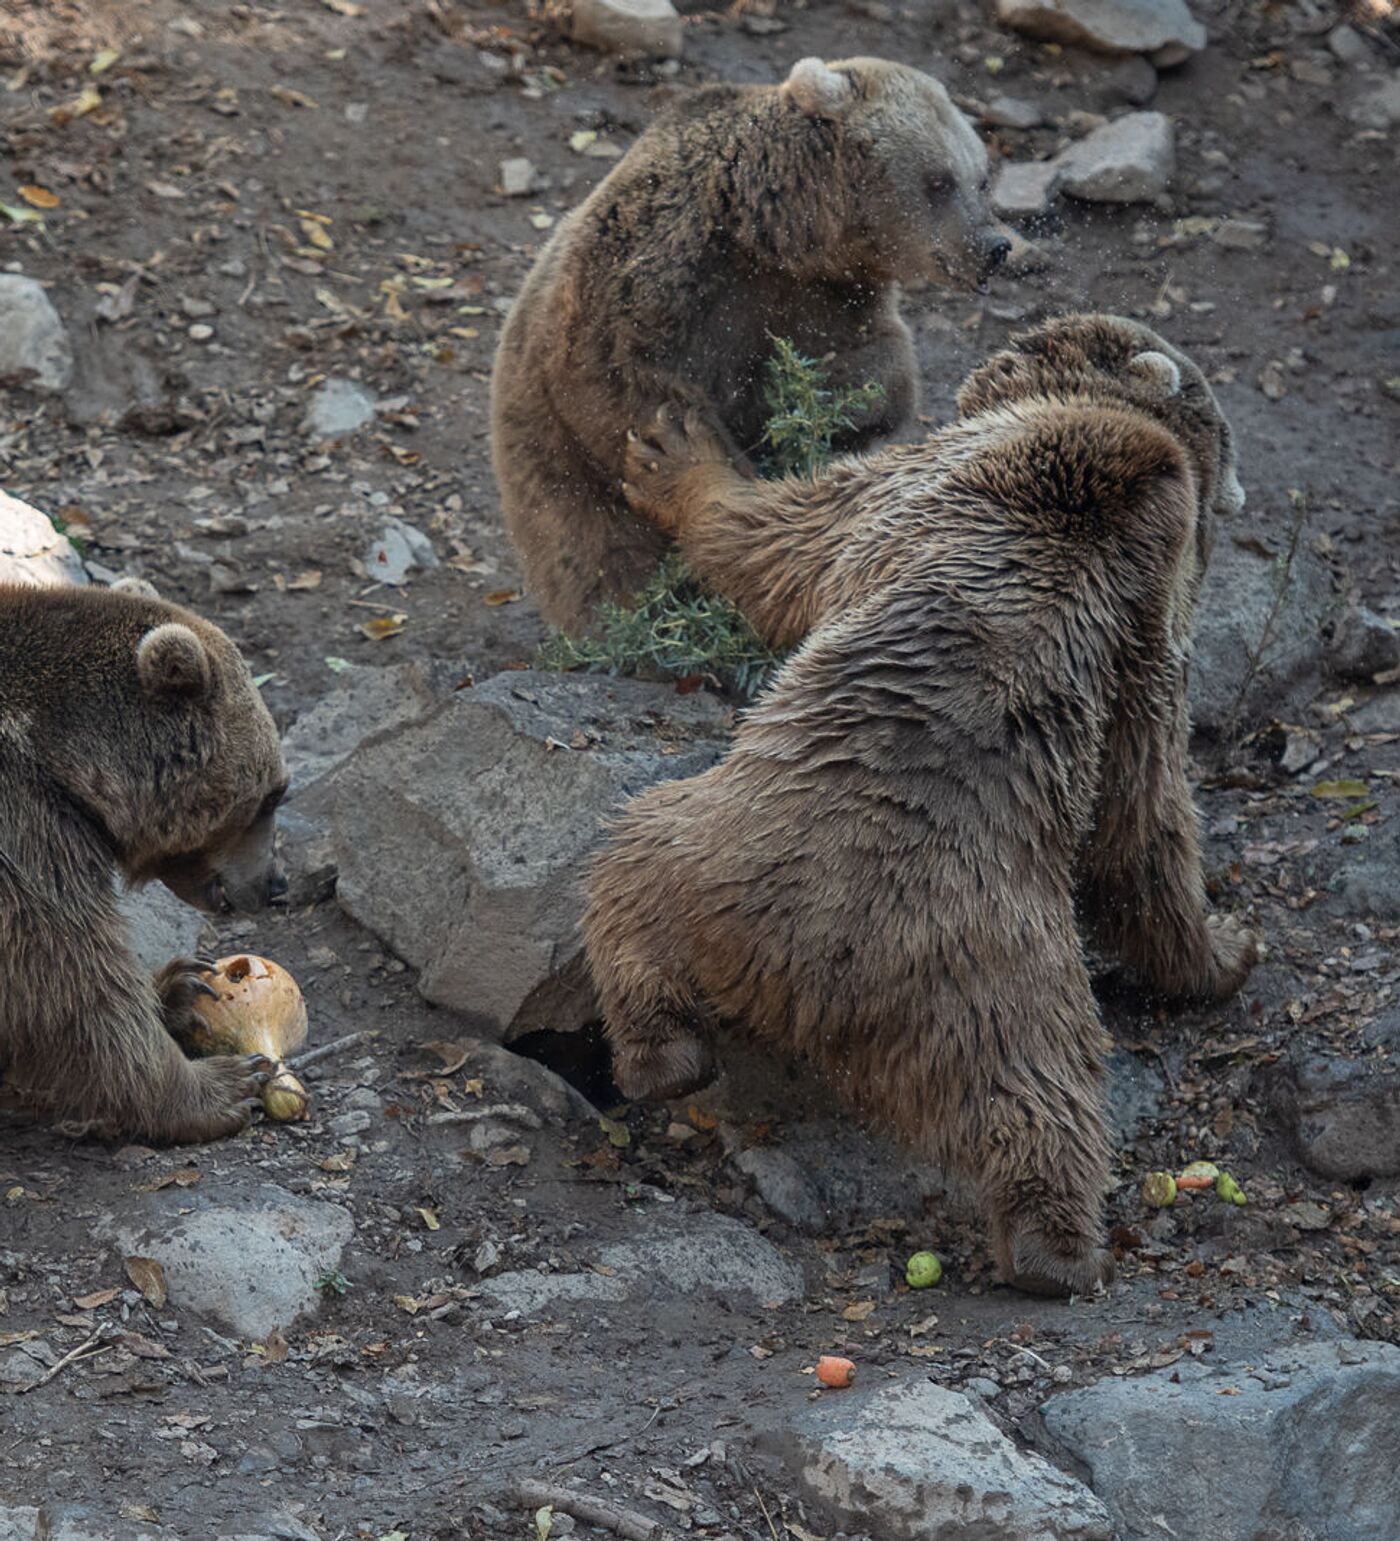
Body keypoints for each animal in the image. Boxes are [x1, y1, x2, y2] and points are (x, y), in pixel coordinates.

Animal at [0, 579, 289, 1146]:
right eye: (272, 795)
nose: (274, 884)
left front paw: (181, 983)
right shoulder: (24, 831)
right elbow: (64, 979)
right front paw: (223, 1086)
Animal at [489, 54, 1004, 631]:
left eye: (982, 178)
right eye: (939, 181)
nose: (993, 247)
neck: (770, 233)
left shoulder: (826, 298)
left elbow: (882, 365)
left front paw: (817, 406)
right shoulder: (654, 265)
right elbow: (616, 382)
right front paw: (708, 453)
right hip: (560, 499)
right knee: (604, 564)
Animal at [585, 315, 1262, 1300]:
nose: (1242, 490)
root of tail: (816, 985)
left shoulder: (924, 489)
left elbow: (782, 539)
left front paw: (671, 450)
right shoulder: (1142, 637)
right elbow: (1143, 825)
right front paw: (1226, 948)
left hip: (730, 860)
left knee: (620, 876)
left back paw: (659, 1057)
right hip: (998, 973)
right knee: (1042, 1092)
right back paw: (1057, 1247)